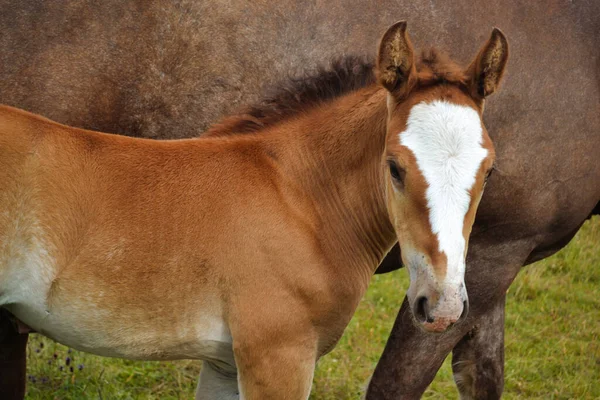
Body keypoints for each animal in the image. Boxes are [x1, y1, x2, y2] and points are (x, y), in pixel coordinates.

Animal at [0, 0, 596, 398]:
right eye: (394, 167)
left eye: (489, 172)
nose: (442, 304)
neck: (296, 199)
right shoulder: (278, 357)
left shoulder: (226, 362)